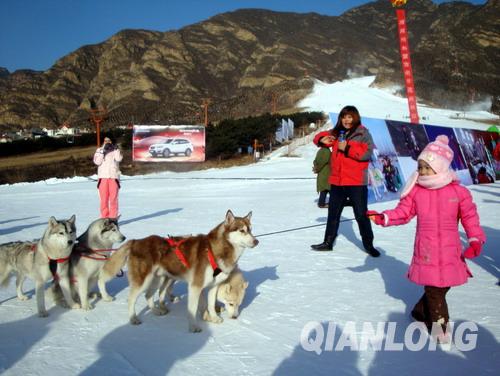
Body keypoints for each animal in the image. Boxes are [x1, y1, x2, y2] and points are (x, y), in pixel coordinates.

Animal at [107, 212, 260, 332]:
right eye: (241, 230)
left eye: (251, 230)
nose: (256, 241)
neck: (214, 250)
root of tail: (136, 241)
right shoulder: (195, 287)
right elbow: (193, 309)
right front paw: (193, 327)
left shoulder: (213, 286)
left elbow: (210, 305)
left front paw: (213, 318)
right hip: (144, 281)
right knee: (132, 299)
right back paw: (133, 318)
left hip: (158, 279)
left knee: (148, 295)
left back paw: (156, 311)